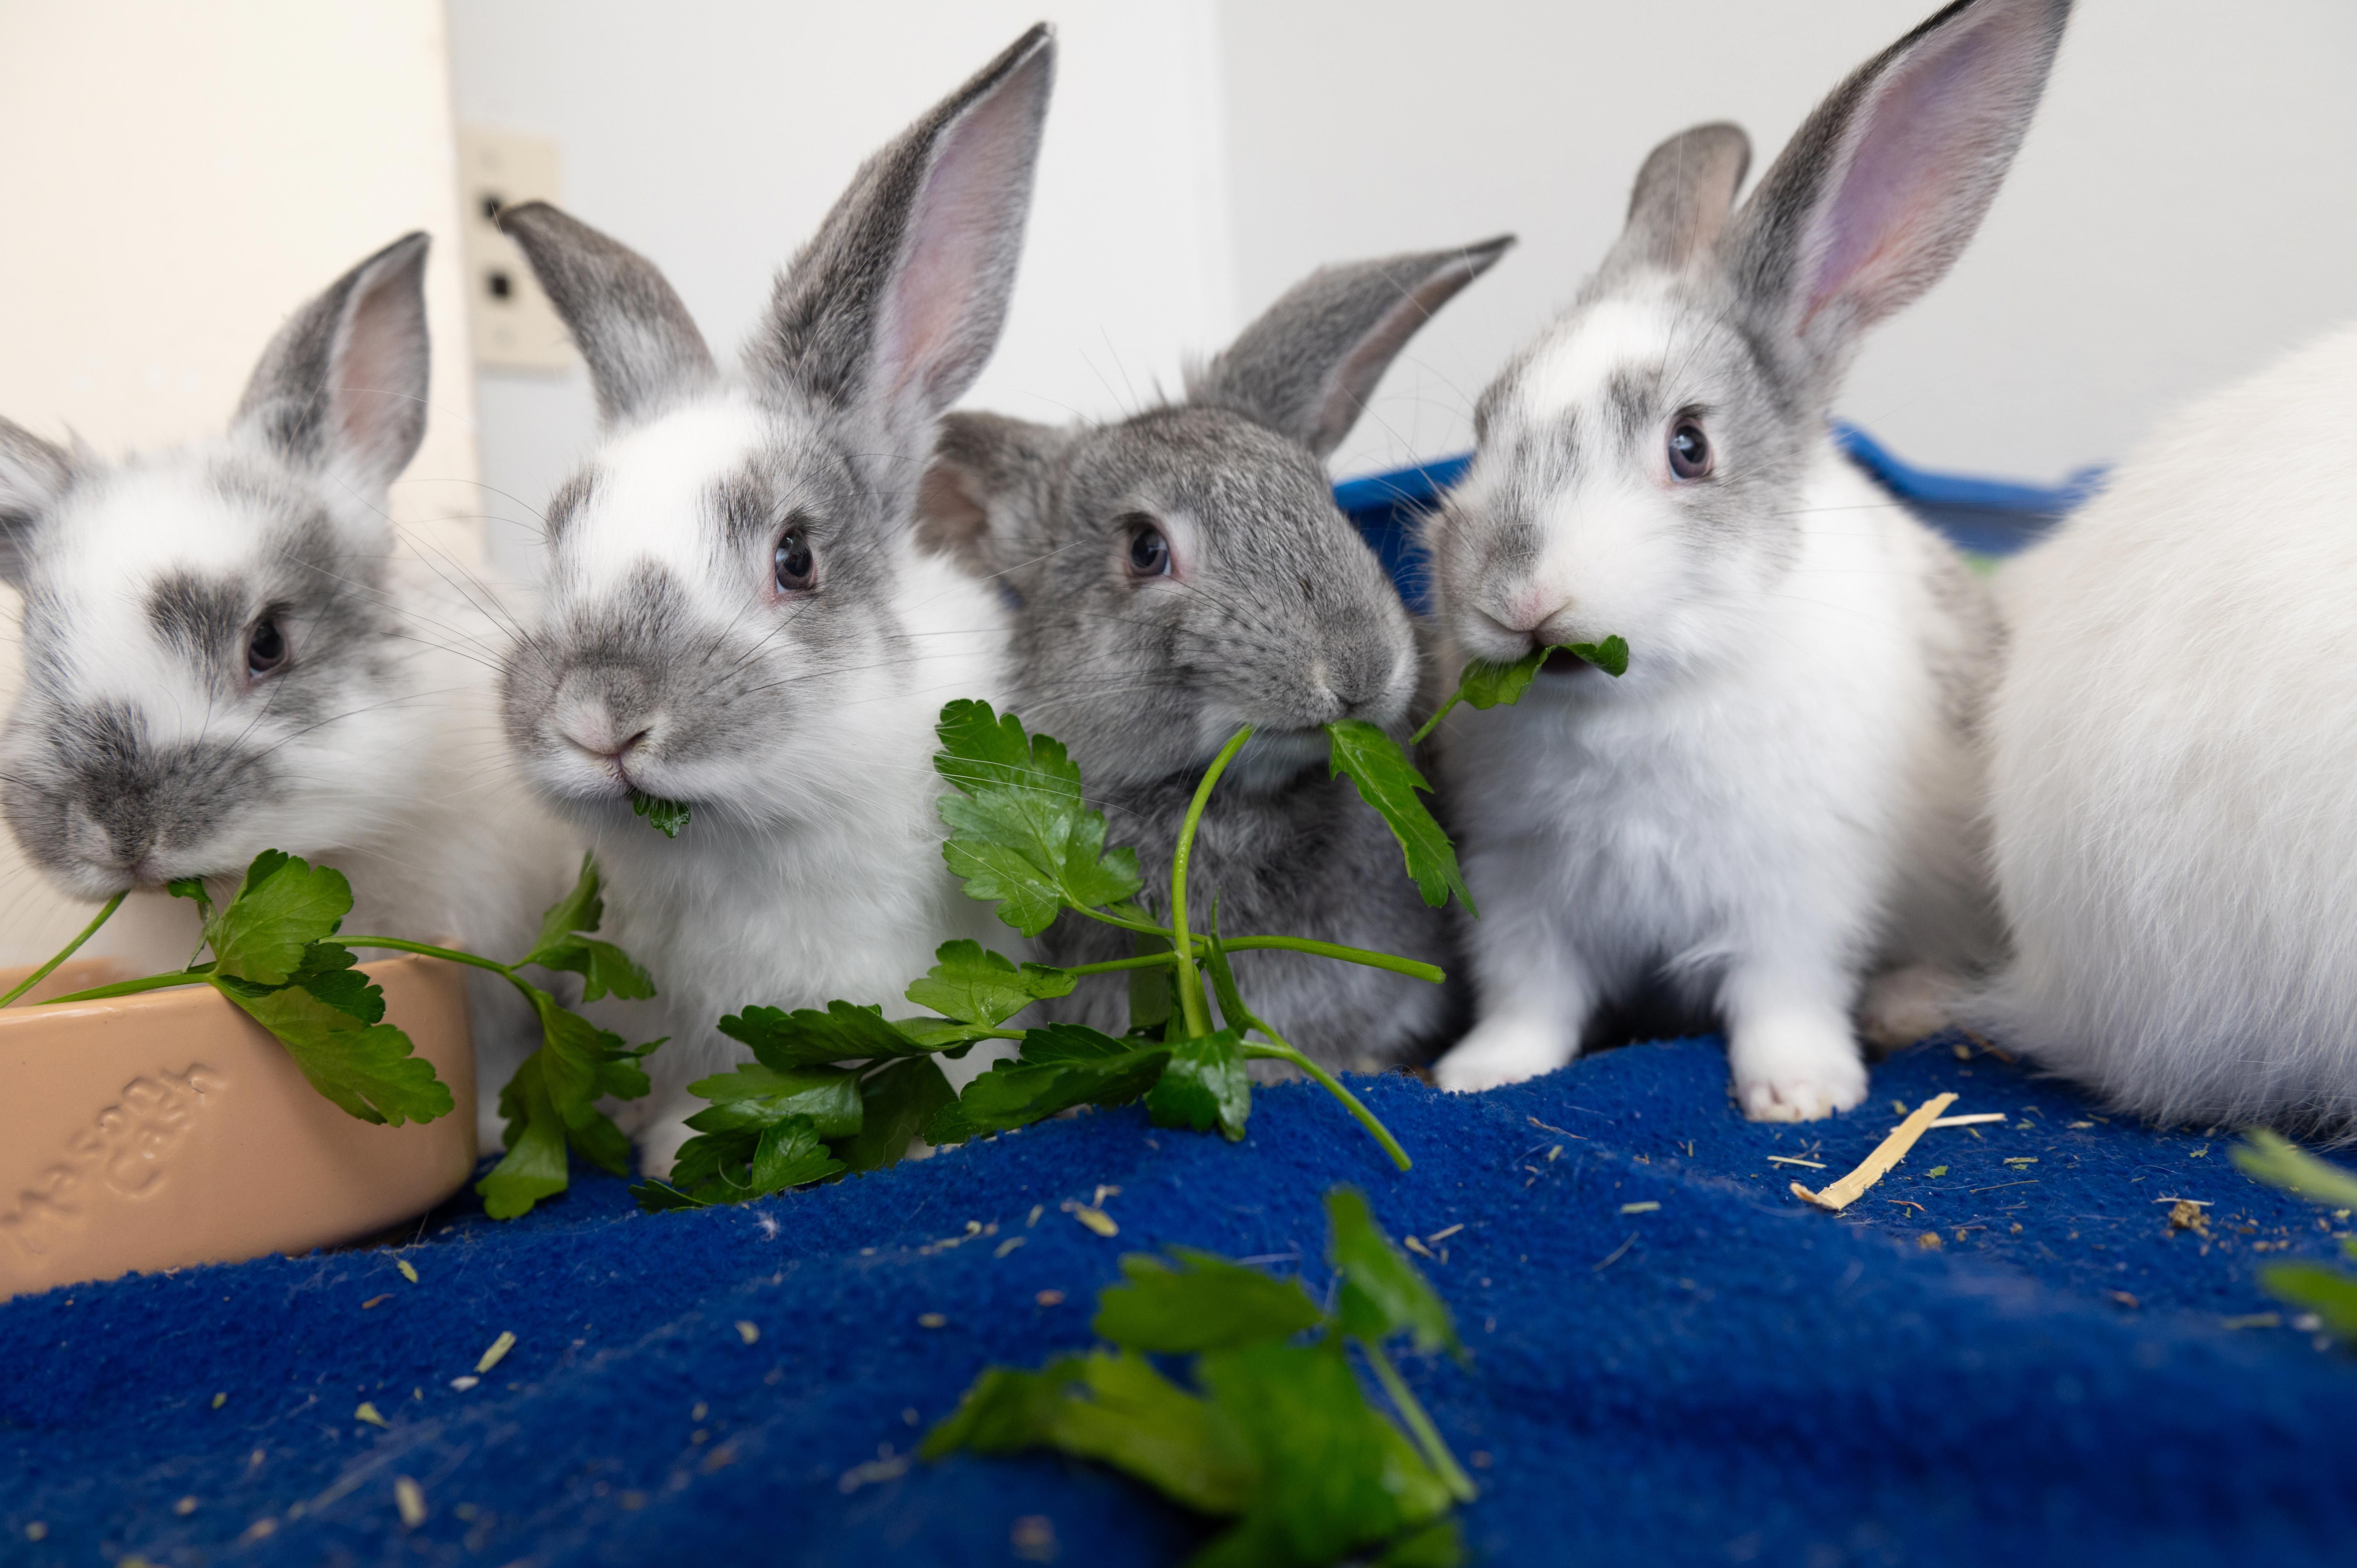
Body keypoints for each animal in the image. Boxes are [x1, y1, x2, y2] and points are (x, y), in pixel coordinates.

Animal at [1423, 0, 2069, 1120]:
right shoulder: (1519, 888)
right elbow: (1529, 997)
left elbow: (1783, 995)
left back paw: (1906, 1008)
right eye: (1484, 423)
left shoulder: (1797, 895)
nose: (1517, 597)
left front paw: (1803, 1093)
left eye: (1690, 446)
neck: (1636, 705)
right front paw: (1480, 1074)